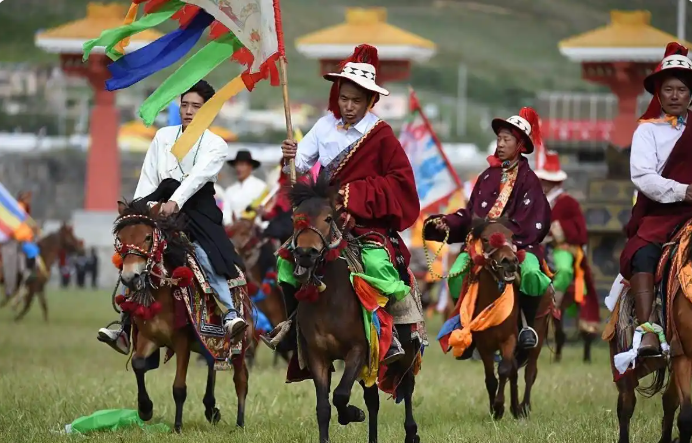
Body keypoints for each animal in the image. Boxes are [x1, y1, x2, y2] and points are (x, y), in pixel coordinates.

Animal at [114, 200, 253, 432]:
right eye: (121, 239)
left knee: (241, 379)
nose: (129, 276)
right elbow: (138, 364)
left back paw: (240, 424)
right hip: (210, 343)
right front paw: (145, 409)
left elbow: (179, 386)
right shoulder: (149, 337)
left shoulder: (182, 342)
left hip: (239, 345)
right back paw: (211, 408)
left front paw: (177, 426)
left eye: (148, 237)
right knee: (212, 365)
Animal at [283, 174, 423, 443]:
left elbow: (340, 395)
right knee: (373, 399)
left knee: (407, 386)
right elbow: (324, 407)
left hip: (407, 350)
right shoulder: (318, 356)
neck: (328, 299)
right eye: (295, 219)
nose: (306, 254)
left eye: (328, 218)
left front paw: (352, 414)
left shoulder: (358, 349)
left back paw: (411, 433)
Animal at [438, 218, 554, 419]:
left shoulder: (509, 339)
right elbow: (491, 378)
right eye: (485, 239)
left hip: (538, 332)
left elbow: (504, 369)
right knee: (515, 371)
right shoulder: (484, 345)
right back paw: (515, 408)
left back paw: (524, 407)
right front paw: (494, 409)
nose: (510, 262)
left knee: (530, 371)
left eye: (512, 236)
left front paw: (499, 406)